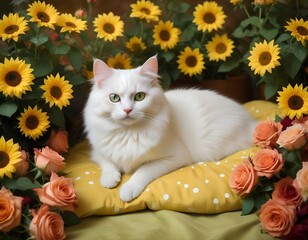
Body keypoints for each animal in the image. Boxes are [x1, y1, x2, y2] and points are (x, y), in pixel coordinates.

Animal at [82, 55, 258, 202]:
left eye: (139, 96)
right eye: (114, 98)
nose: (127, 110)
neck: (128, 133)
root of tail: (250, 121)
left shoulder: (174, 157)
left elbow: (143, 170)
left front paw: (127, 189)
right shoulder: (98, 151)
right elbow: (108, 163)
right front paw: (110, 179)